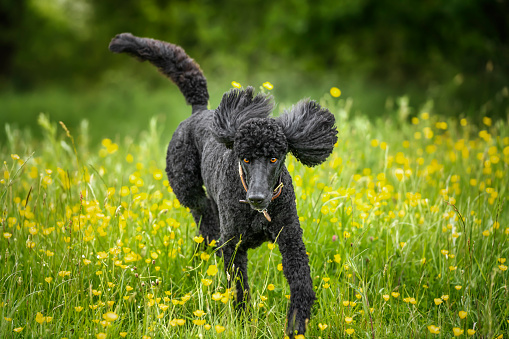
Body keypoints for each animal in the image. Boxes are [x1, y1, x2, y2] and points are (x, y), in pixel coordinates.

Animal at [107, 32, 338, 338]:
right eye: (245, 158)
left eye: (274, 157)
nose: (256, 198)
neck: (258, 212)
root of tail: (199, 112)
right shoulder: (234, 245)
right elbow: (239, 288)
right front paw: (242, 322)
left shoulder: (290, 239)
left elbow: (301, 283)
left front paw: (297, 325)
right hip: (187, 187)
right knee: (204, 213)